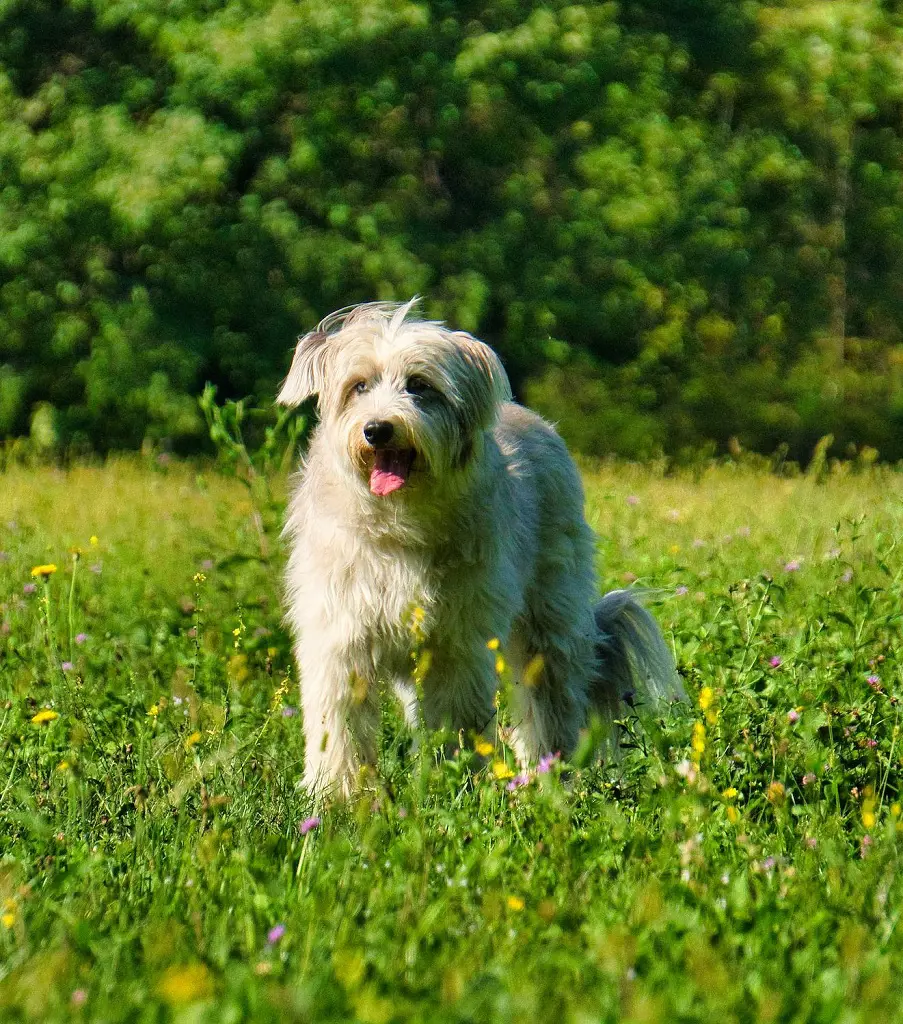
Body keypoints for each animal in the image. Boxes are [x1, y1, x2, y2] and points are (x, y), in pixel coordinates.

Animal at [278, 299, 679, 794]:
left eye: (419, 385)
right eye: (359, 386)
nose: (378, 429)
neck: (400, 522)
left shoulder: (457, 645)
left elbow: (457, 719)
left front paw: (457, 787)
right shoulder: (340, 641)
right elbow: (339, 729)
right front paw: (338, 797)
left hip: (550, 623)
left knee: (553, 701)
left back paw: (555, 778)